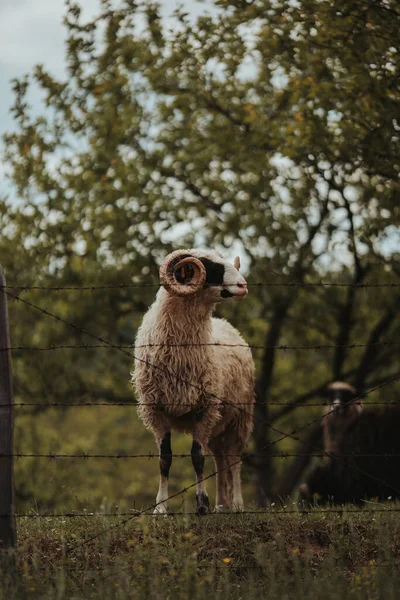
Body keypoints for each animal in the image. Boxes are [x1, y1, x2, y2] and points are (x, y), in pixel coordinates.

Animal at [133, 248, 255, 516]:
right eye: (210, 266)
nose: (243, 285)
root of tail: (225, 324)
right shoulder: (157, 411)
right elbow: (164, 459)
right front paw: (160, 508)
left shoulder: (204, 409)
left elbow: (197, 457)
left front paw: (201, 504)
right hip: (219, 423)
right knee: (220, 459)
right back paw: (222, 504)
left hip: (239, 417)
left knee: (234, 459)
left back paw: (237, 504)